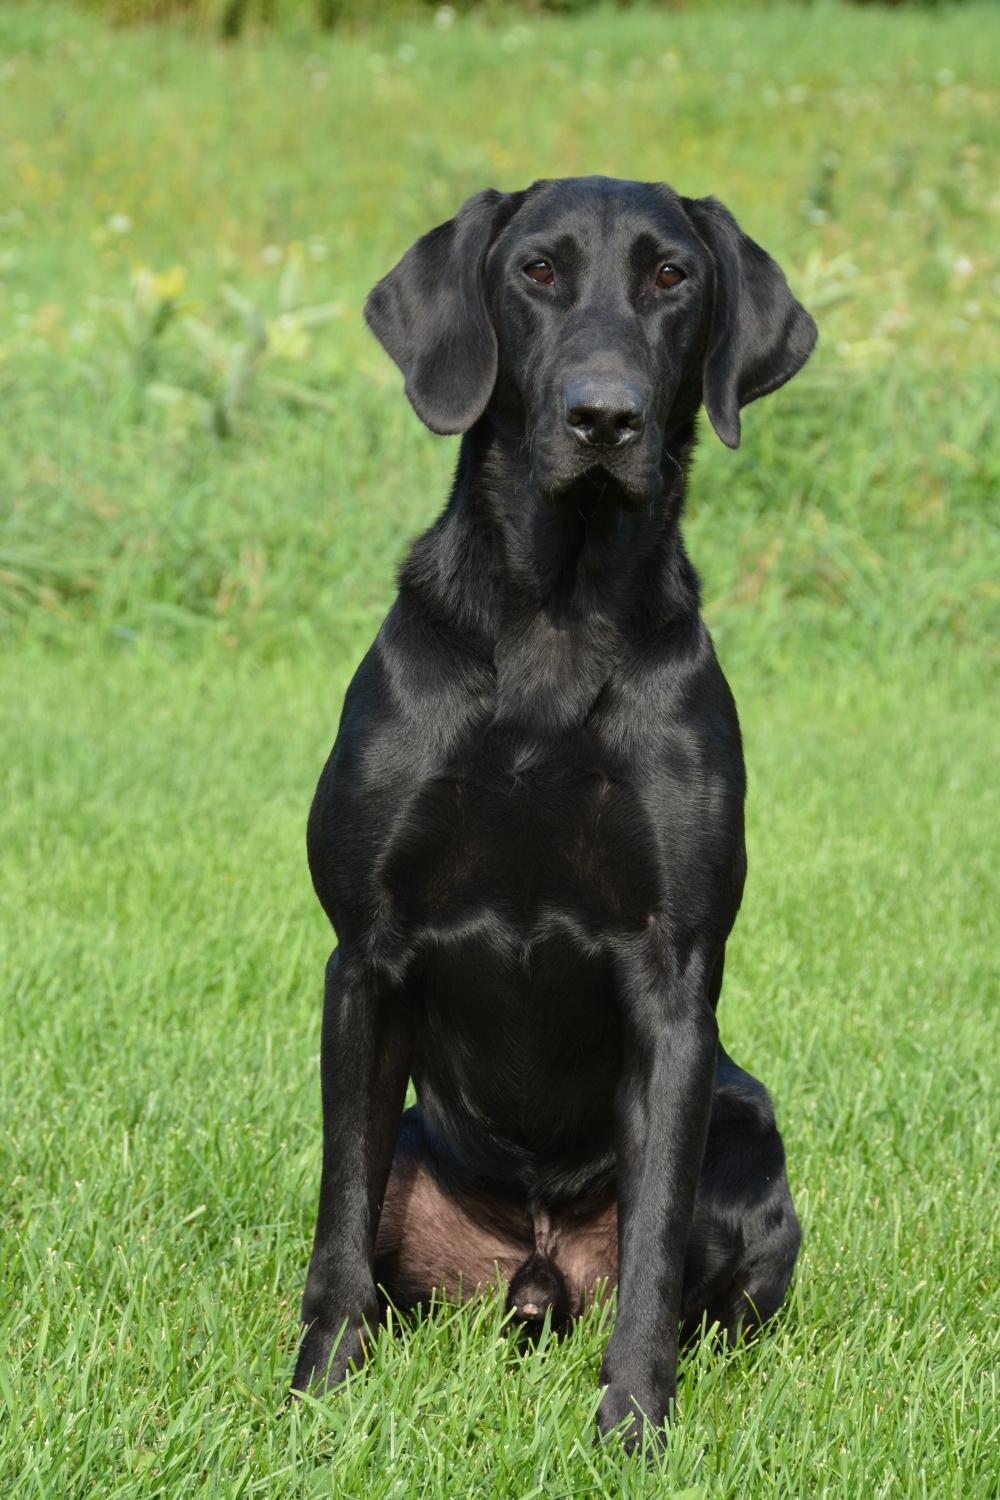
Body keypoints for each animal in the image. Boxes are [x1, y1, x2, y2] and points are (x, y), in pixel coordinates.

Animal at [293, 175, 815, 1452]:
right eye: (535, 271)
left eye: (672, 276)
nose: (603, 418)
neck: (556, 616)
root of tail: (533, 1271)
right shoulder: (363, 956)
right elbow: (337, 1230)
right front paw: (316, 1397)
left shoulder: (674, 975)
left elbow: (655, 1258)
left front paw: (631, 1427)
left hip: (750, 1128)